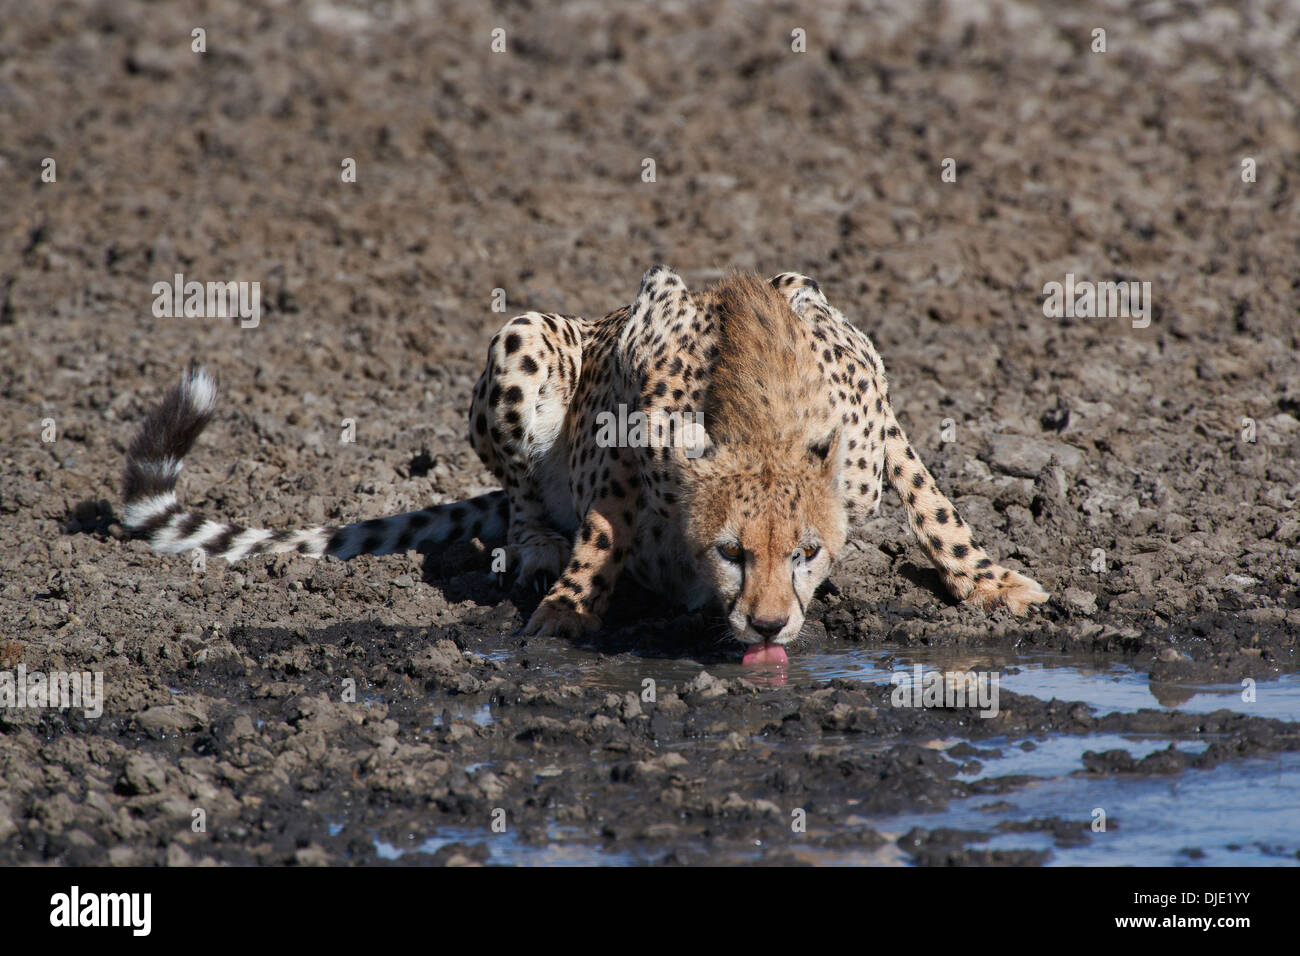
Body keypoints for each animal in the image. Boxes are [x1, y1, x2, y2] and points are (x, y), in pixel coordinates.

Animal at [124, 265, 1045, 660]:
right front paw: (569, 605)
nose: (767, 625)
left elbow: (936, 507)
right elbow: (603, 526)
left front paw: (989, 581)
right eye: (731, 552)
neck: (763, 415)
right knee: (524, 492)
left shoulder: (873, 427)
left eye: (807, 553)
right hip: (523, 336)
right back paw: (535, 549)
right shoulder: (627, 415)